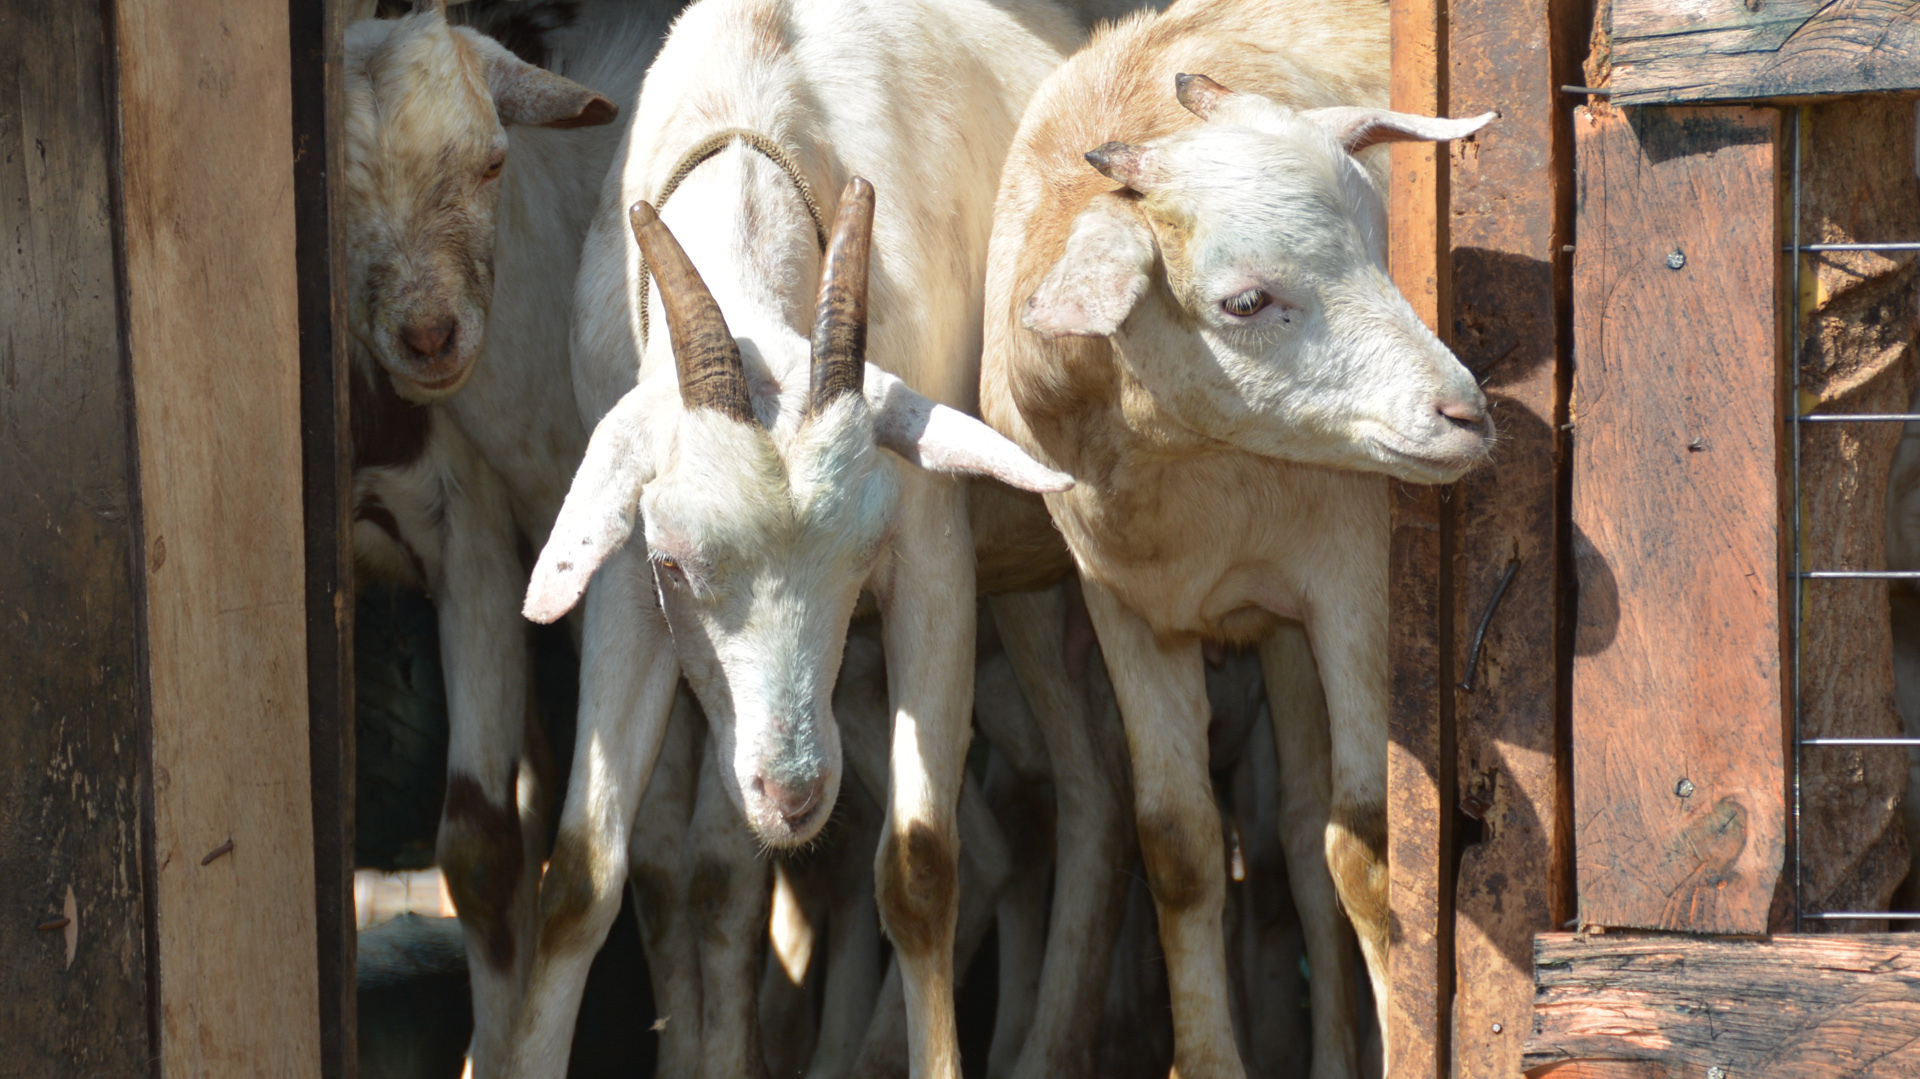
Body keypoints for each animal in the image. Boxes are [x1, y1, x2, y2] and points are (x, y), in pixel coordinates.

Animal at [510, 2, 1082, 1075]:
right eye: (675, 564)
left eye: (862, 560)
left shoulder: (933, 553)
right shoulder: (623, 582)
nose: (792, 791)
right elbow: (580, 880)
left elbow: (919, 869)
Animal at [975, 2, 1497, 1075]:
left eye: (1385, 244)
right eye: (1246, 303)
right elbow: (1177, 843)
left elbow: (1369, 846)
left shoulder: (1352, 578)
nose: (1464, 412)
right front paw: (1207, 1055)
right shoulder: (1125, 604)